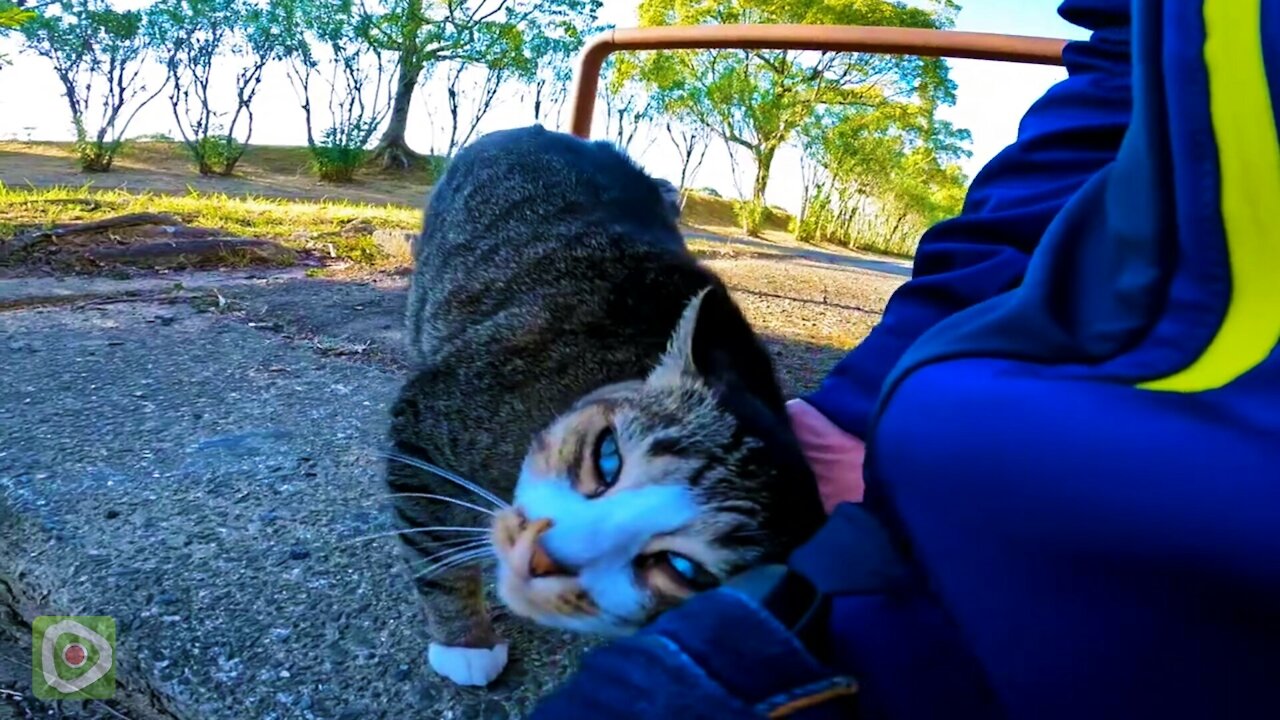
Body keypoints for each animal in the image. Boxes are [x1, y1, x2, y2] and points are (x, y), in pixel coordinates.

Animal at [384, 122, 824, 681]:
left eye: (681, 568)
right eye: (608, 456)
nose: (542, 556)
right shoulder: (430, 422)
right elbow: (432, 541)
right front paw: (465, 641)